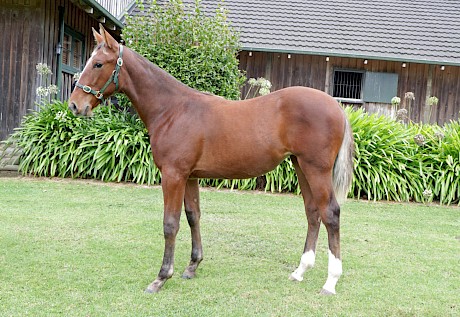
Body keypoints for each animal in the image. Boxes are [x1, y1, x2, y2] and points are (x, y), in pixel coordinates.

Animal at [68, 25, 354, 294]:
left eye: (98, 63)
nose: (74, 105)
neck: (173, 110)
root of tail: (337, 107)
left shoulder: (173, 175)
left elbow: (170, 224)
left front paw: (161, 277)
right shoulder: (189, 176)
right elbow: (193, 216)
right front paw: (192, 266)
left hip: (315, 169)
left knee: (330, 213)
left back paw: (331, 282)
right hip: (300, 166)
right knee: (313, 212)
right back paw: (300, 271)